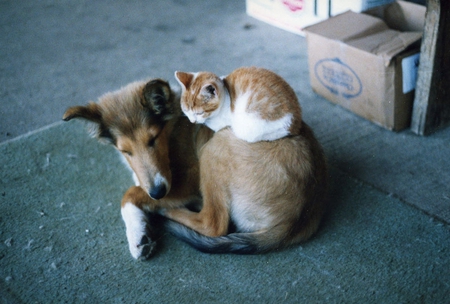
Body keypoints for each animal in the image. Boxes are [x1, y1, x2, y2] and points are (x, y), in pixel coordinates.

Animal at [63, 78, 326, 258]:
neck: (171, 129)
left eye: (153, 139)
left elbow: (129, 193)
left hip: (214, 148)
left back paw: (167, 213)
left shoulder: (187, 179)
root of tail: (298, 217)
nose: (158, 193)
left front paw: (137, 235)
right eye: (125, 151)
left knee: (213, 224)